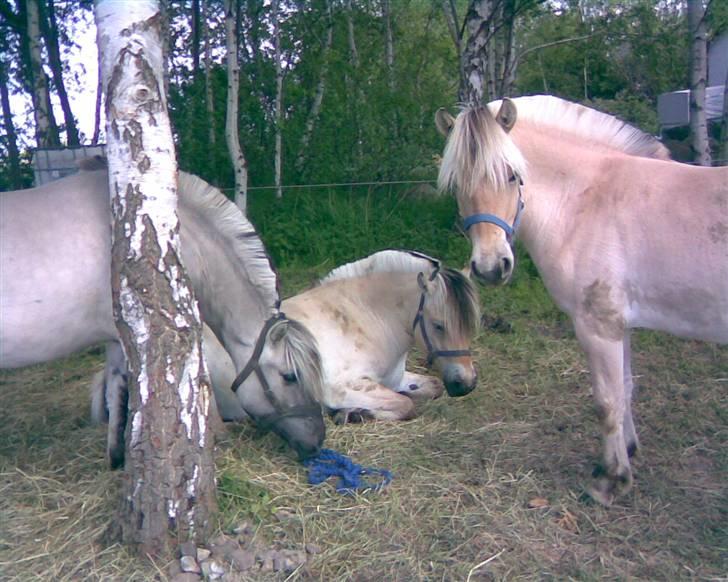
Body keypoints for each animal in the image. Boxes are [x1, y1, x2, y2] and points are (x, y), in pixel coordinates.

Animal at [98, 251, 484, 428]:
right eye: (438, 325)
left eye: (469, 324)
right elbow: (405, 406)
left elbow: (428, 388)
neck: (363, 317)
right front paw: (352, 414)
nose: (465, 384)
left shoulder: (396, 378)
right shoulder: (342, 387)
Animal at [438, 96, 728, 506]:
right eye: (457, 184)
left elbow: (607, 403)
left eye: (512, 175)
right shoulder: (619, 327)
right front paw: (626, 453)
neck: (588, 201)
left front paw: (610, 480)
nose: (491, 267)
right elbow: (624, 392)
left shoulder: (598, 328)